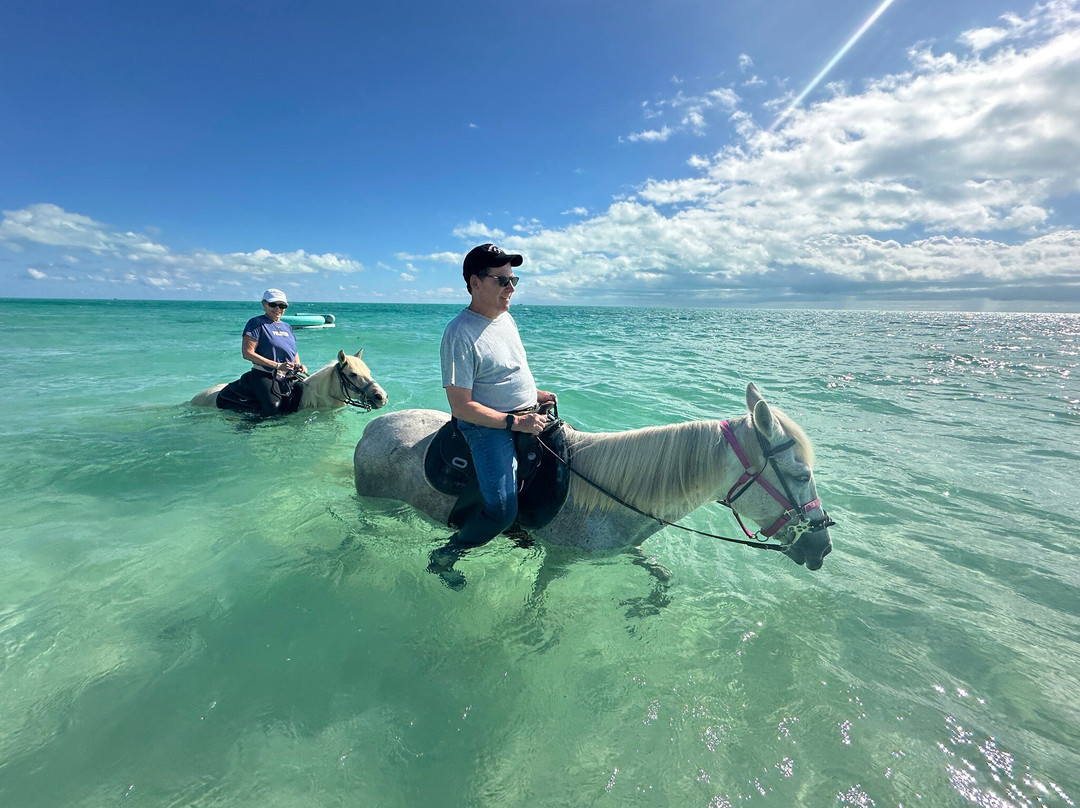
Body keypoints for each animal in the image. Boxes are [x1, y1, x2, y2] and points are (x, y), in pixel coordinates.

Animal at [352, 383, 833, 571]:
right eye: (801, 473)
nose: (823, 546)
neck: (611, 497)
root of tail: (372, 427)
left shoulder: (625, 548)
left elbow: (661, 577)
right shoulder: (559, 559)